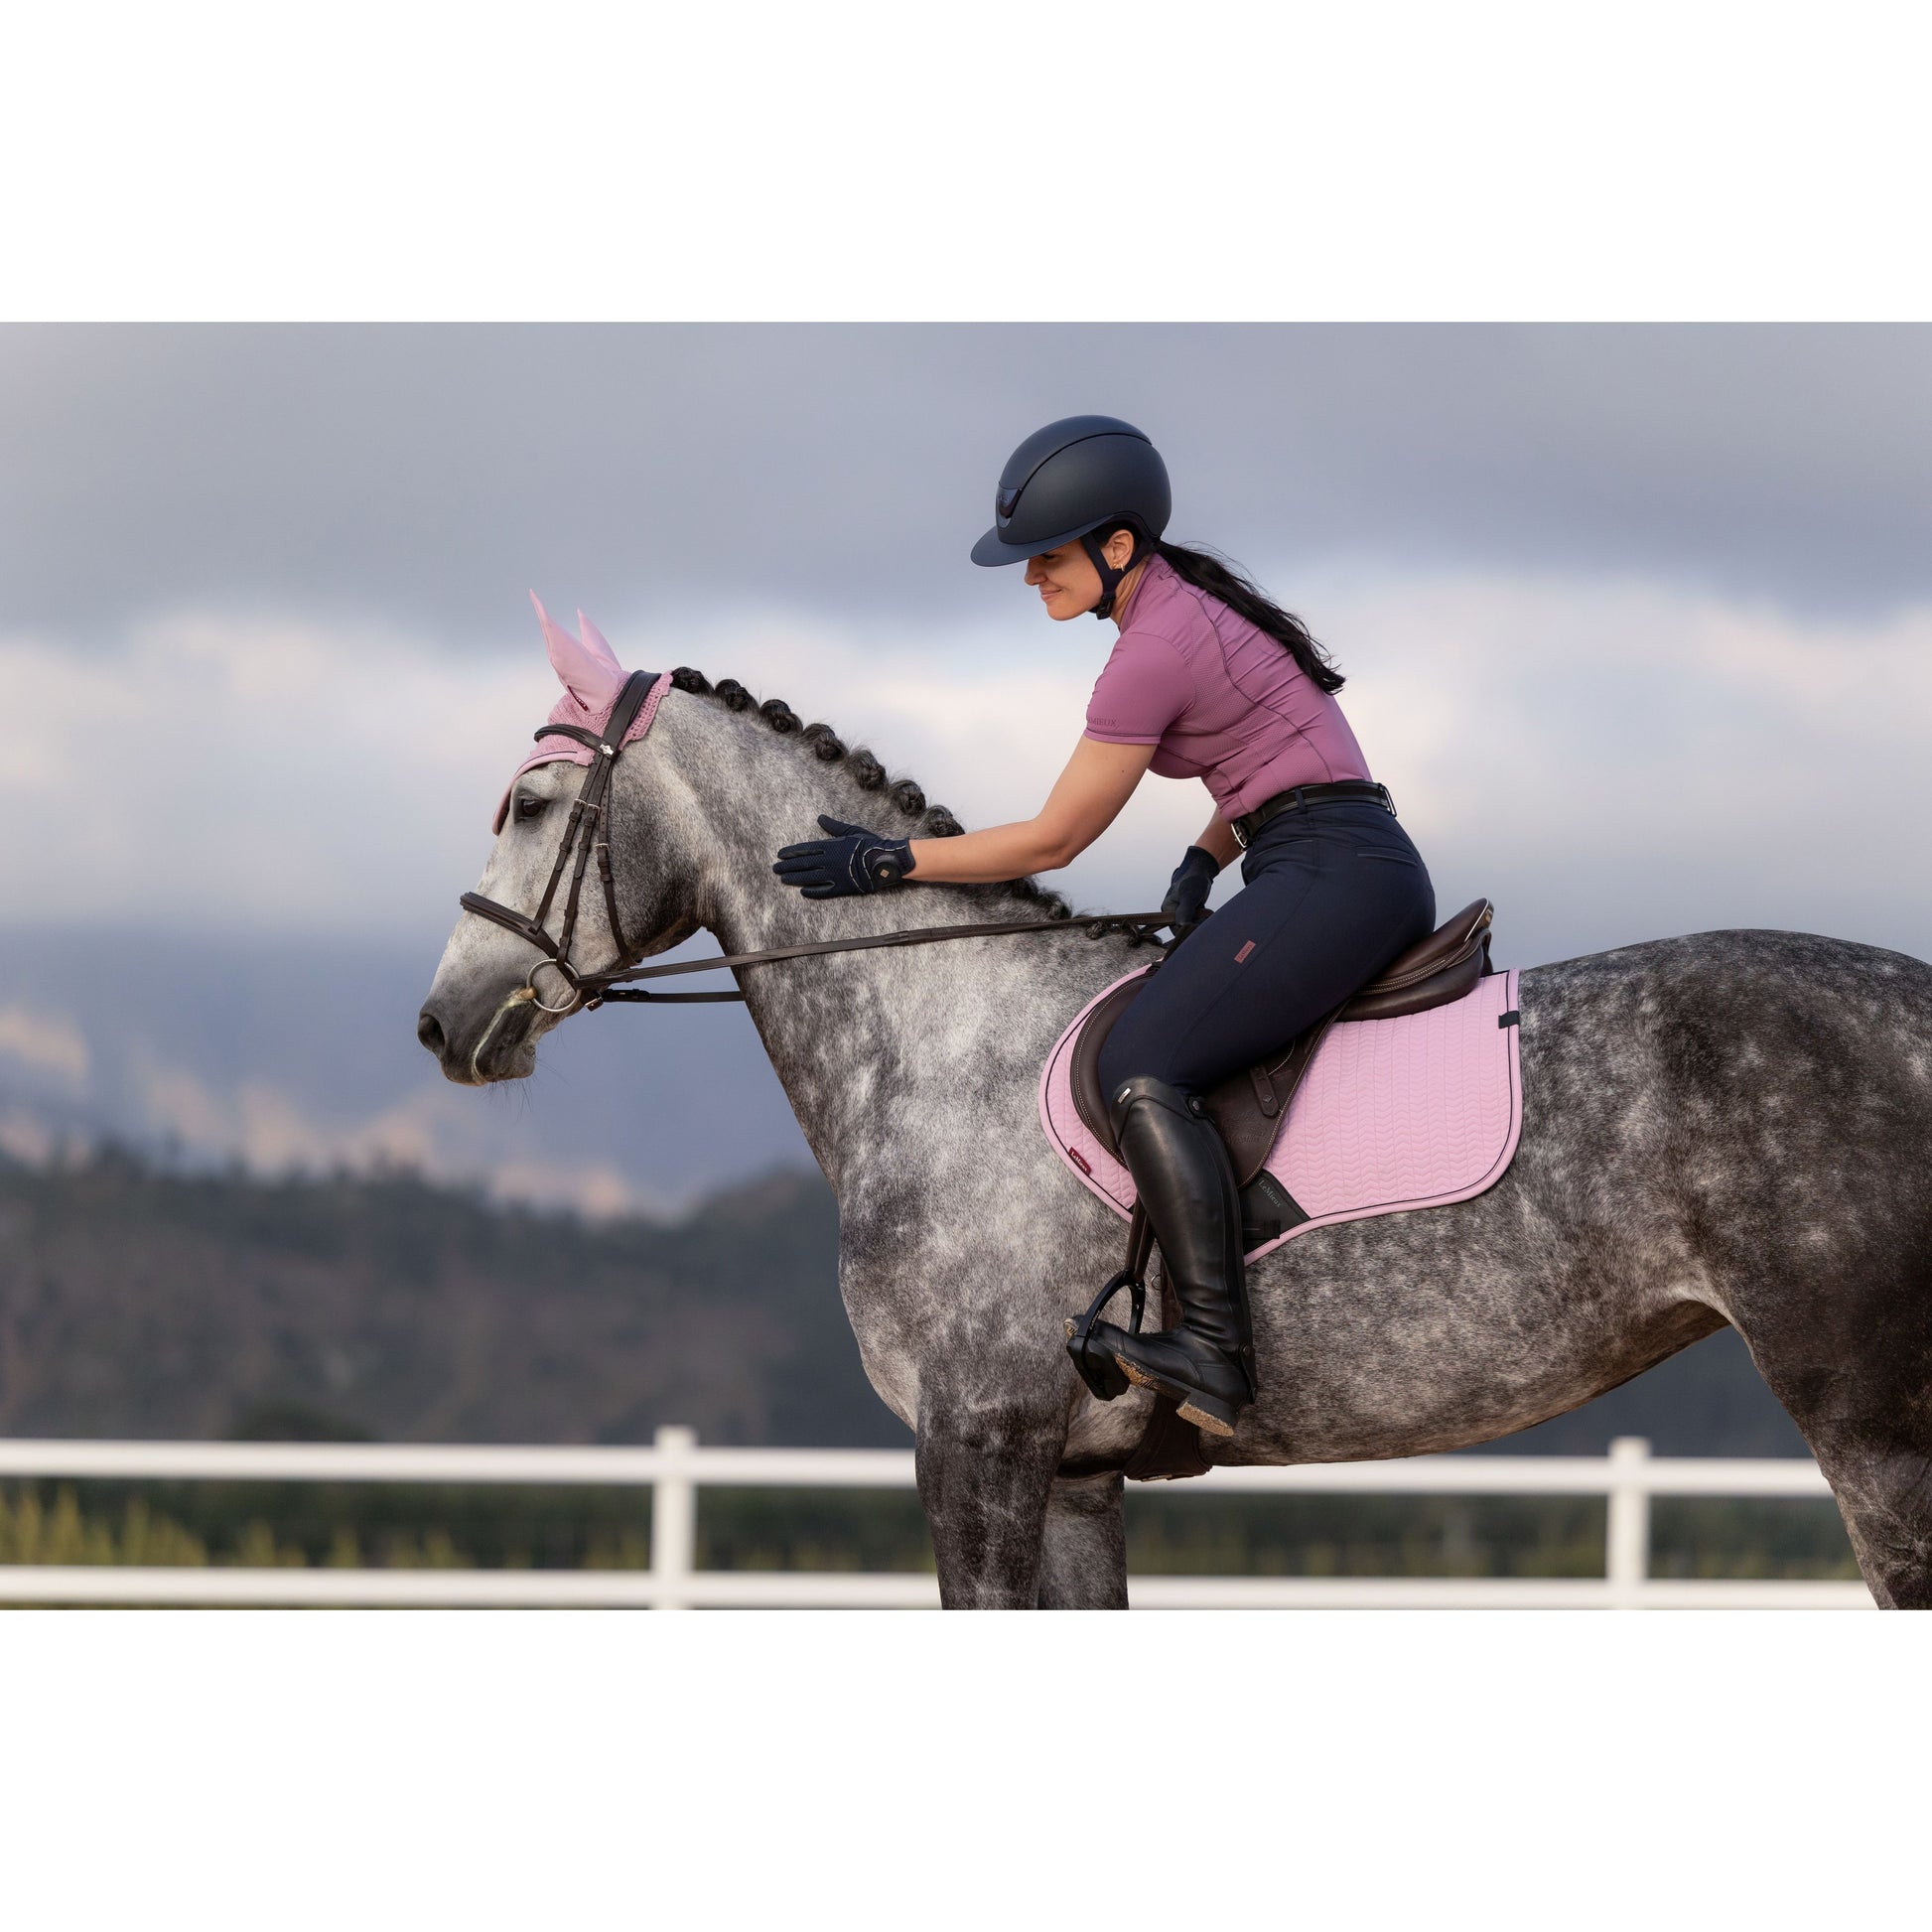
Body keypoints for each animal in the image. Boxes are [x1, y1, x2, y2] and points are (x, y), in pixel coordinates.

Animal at [417, 620, 1932, 1608]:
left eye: (532, 802)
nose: (445, 1022)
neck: (941, 1033)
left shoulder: (975, 1441)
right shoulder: (1074, 1478)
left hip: (1871, 1420)